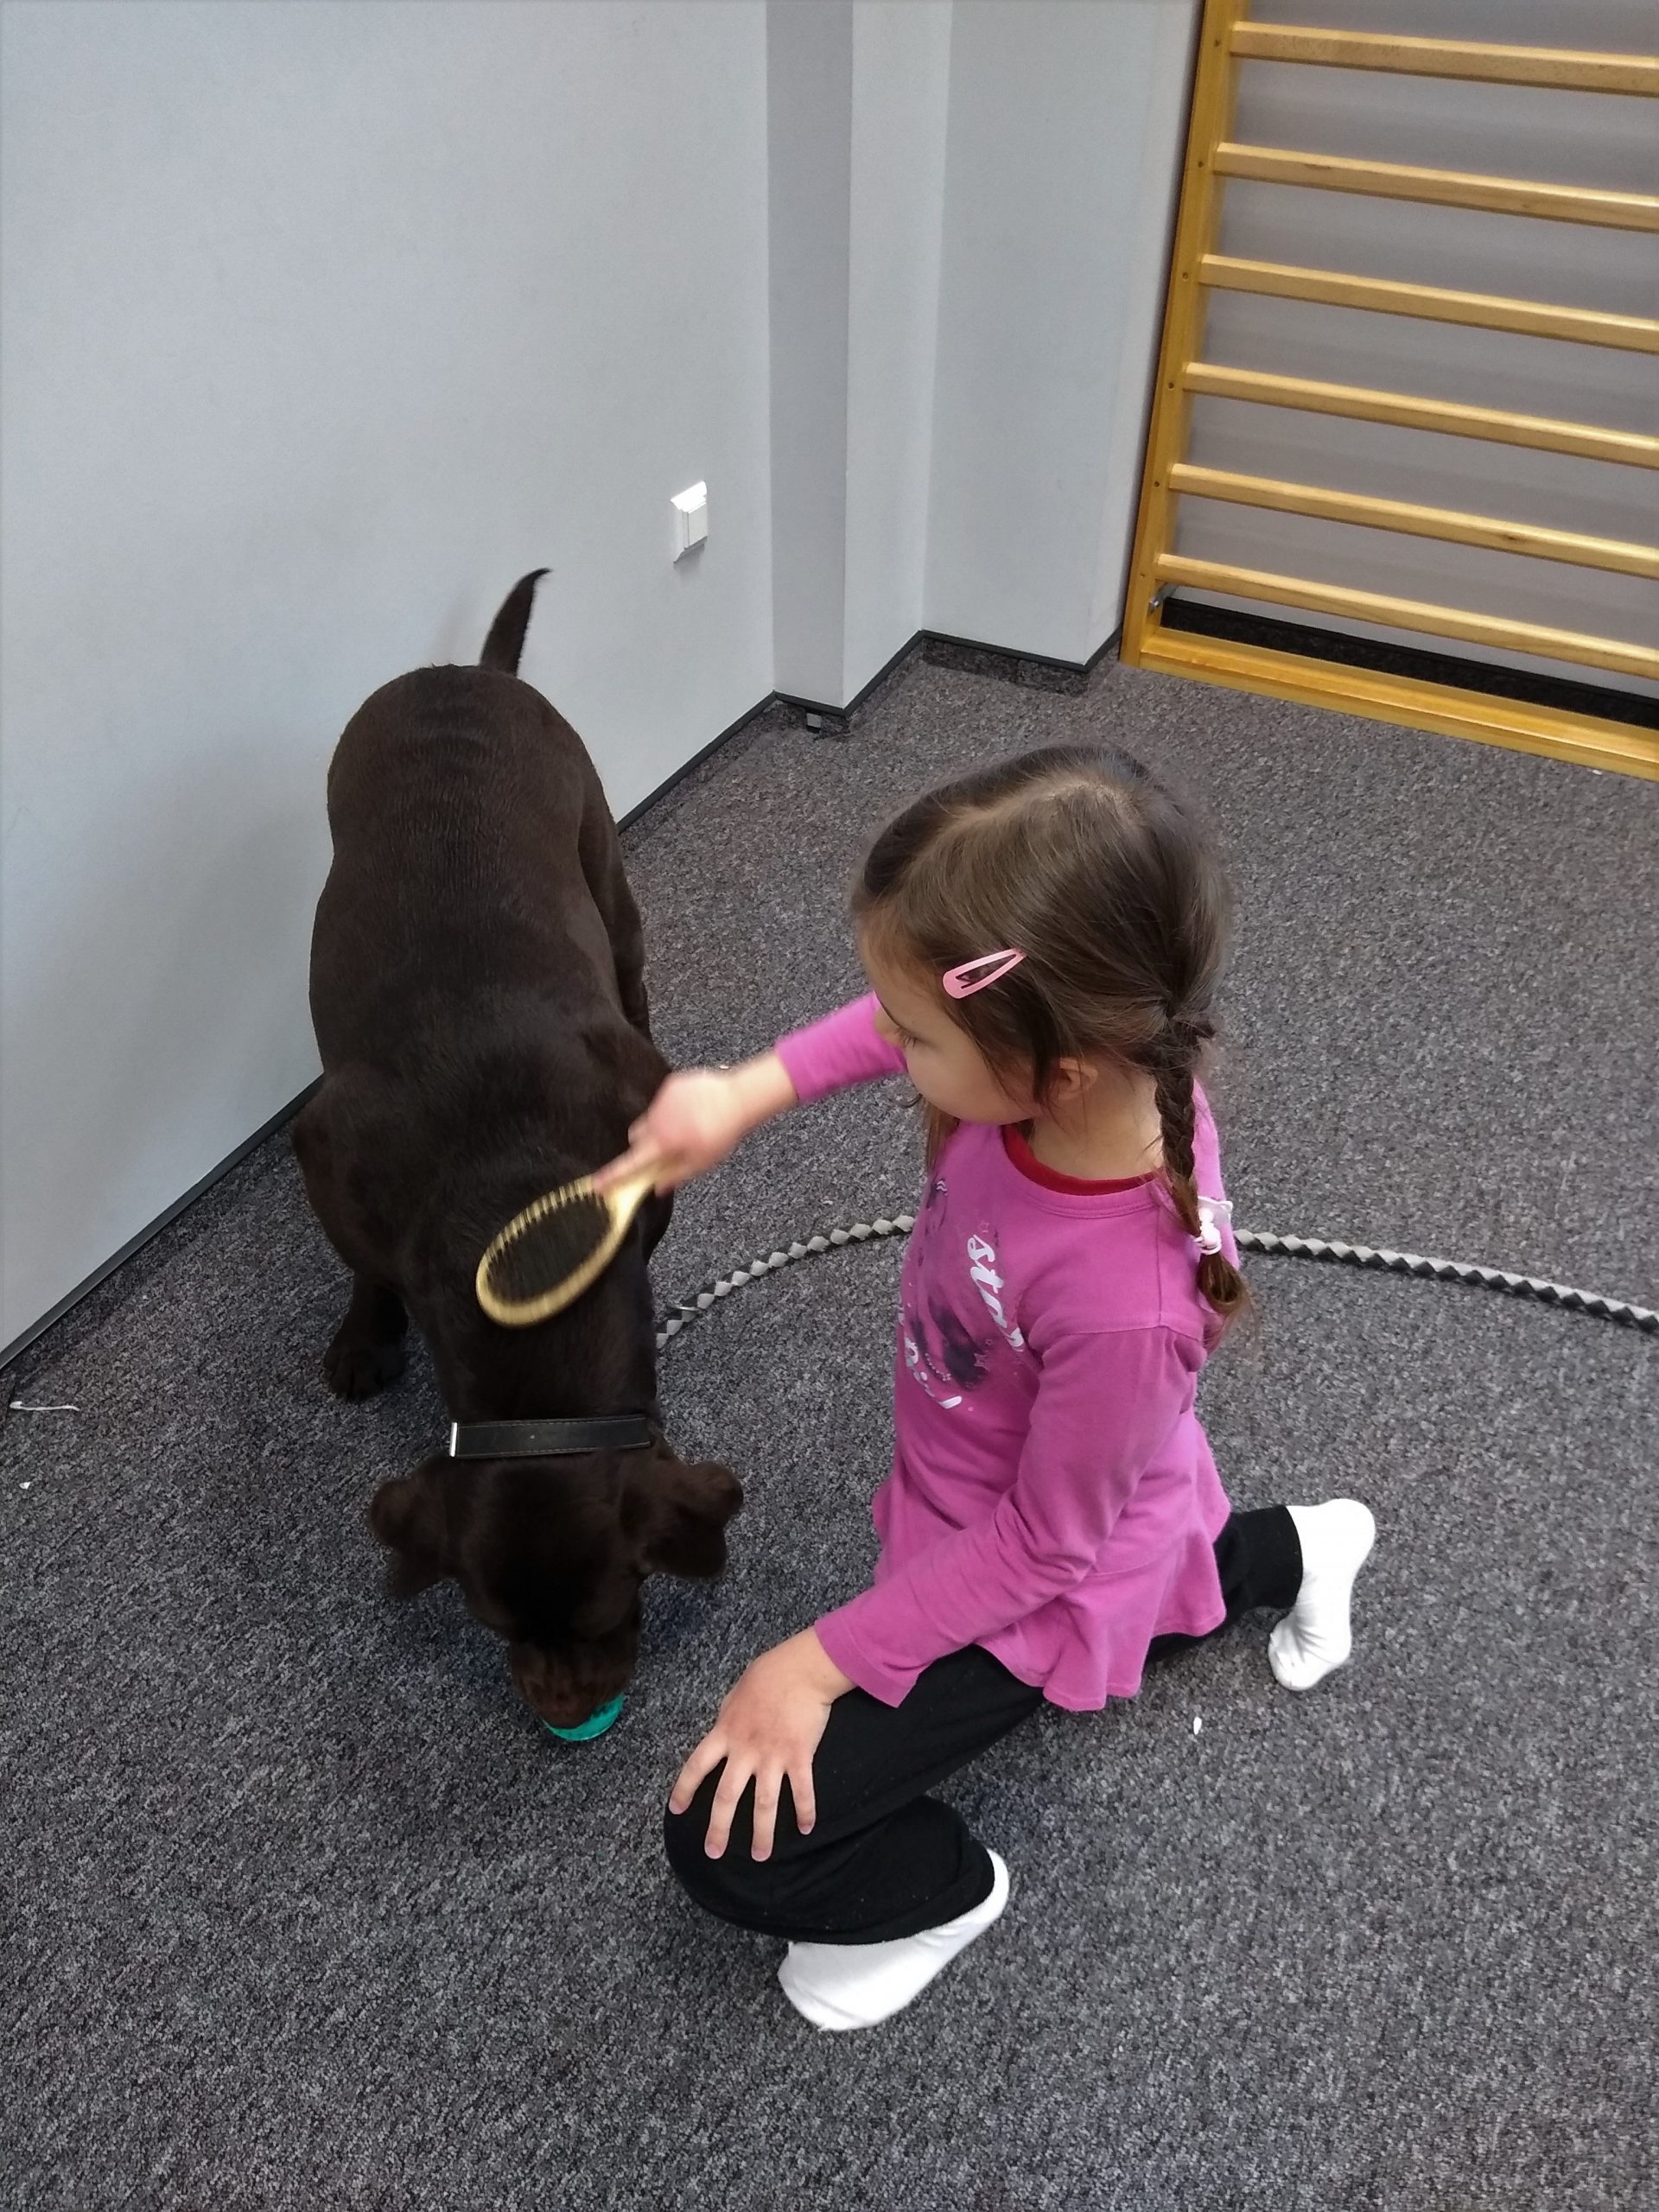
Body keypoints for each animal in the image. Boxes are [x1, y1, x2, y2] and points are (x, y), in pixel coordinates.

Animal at [294, 572, 741, 1729]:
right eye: (494, 1626)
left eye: (620, 1600)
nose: (564, 1720)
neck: (519, 1220)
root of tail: (472, 672)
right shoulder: (330, 1153)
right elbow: (366, 1262)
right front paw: (367, 1337)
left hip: (608, 874)